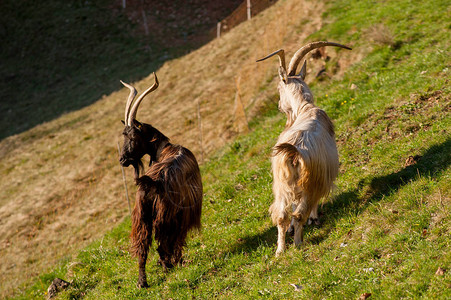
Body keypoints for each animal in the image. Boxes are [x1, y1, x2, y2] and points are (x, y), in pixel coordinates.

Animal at [258, 40, 354, 255]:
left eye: (279, 88)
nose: (279, 106)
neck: (306, 108)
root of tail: (293, 153)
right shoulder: (320, 177)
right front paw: (314, 219)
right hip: (309, 182)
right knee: (299, 212)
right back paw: (298, 243)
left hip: (281, 184)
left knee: (282, 215)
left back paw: (280, 250)